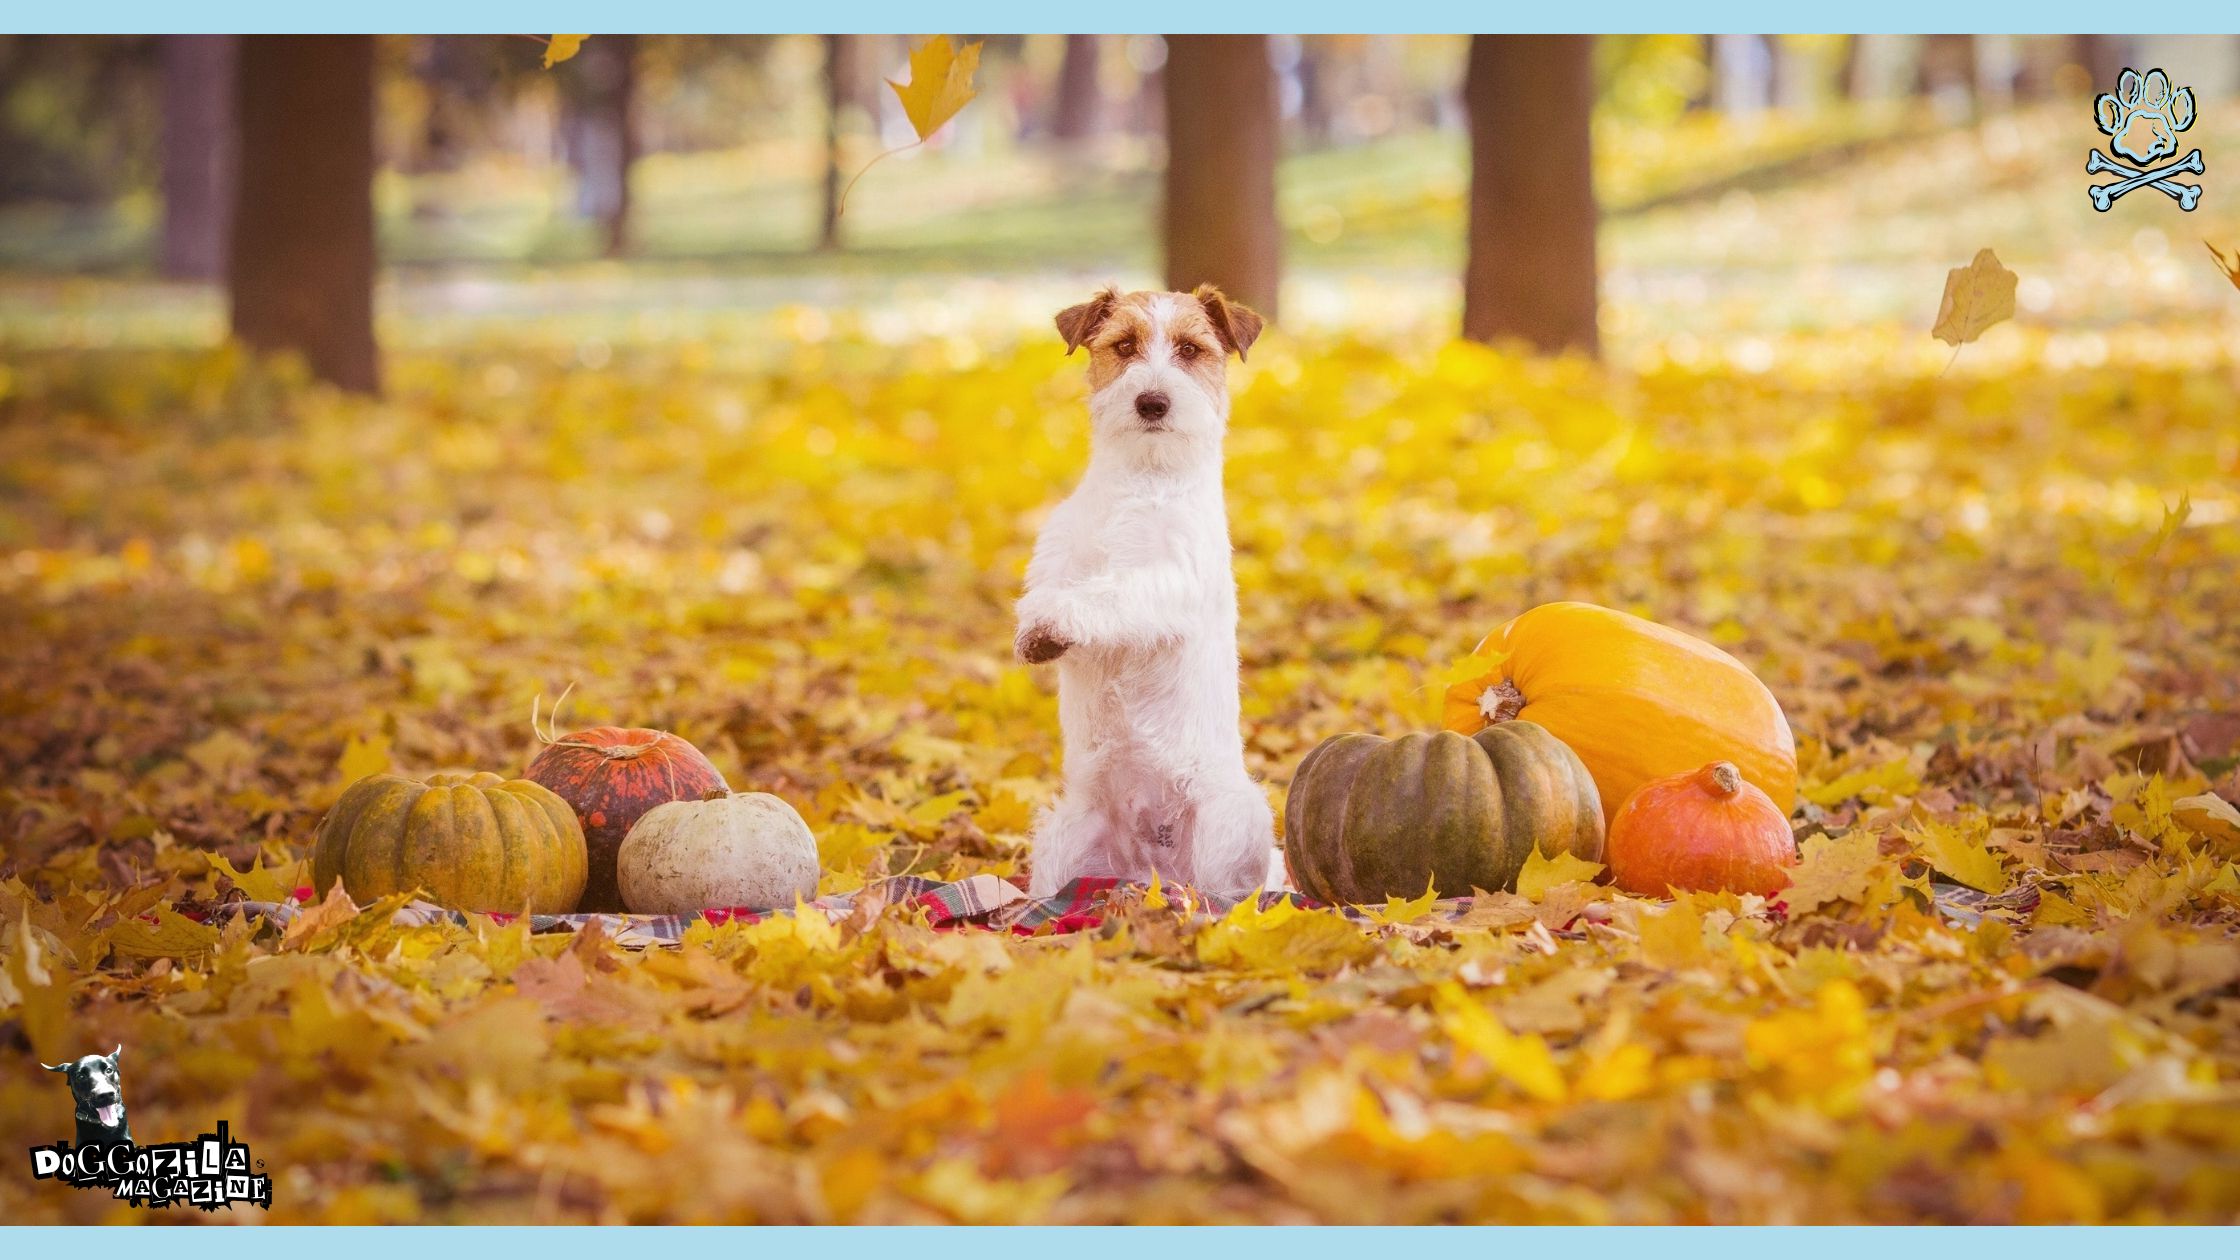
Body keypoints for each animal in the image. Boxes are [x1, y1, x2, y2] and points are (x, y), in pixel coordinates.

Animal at [1021, 284, 1281, 892]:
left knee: (1227, 895)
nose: (1153, 403)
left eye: (1190, 348)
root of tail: (1150, 870)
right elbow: (1048, 587)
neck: (1140, 480)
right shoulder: (1058, 554)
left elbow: (1107, 594)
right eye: (1124, 345)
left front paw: (1055, 620)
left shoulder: (1168, 578)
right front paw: (1034, 633)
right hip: (1065, 836)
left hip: (1229, 823)